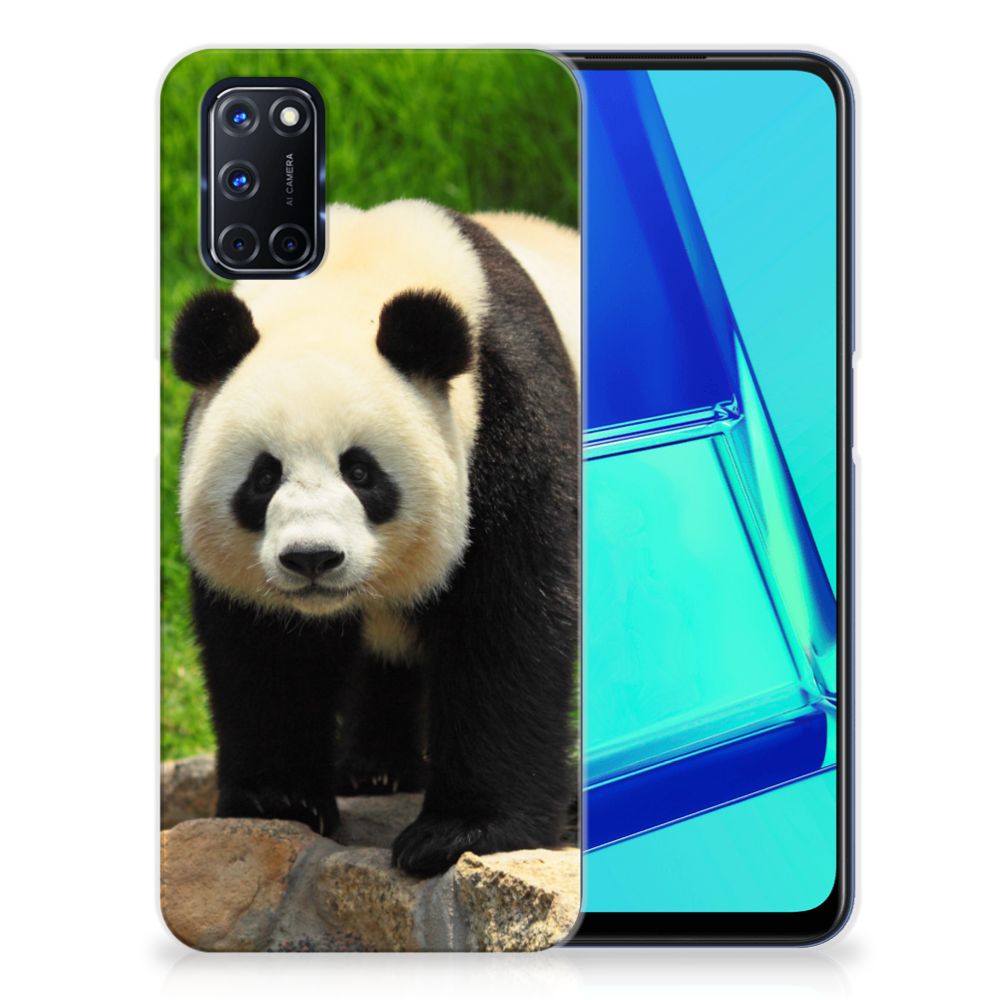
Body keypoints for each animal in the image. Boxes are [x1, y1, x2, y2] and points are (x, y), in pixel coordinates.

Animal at [171, 199, 579, 877]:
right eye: (263, 476)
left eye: (360, 472)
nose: (312, 558)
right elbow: (266, 648)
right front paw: (278, 799)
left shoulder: (511, 419)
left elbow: (508, 623)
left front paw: (460, 832)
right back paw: (375, 769)